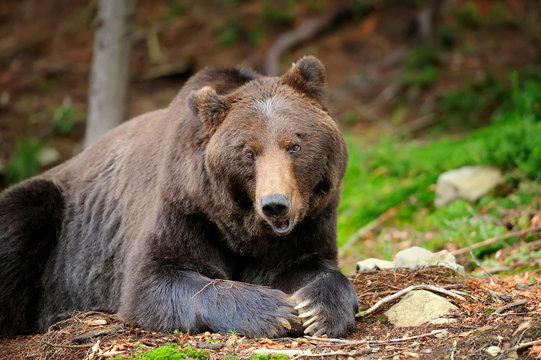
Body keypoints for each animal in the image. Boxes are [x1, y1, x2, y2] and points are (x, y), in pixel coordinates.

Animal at [0, 55, 358, 338]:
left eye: (295, 145)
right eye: (248, 153)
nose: (275, 205)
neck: (241, 226)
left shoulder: (310, 220)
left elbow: (308, 264)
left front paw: (317, 310)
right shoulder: (184, 207)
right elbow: (153, 279)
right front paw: (274, 312)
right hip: (57, 214)